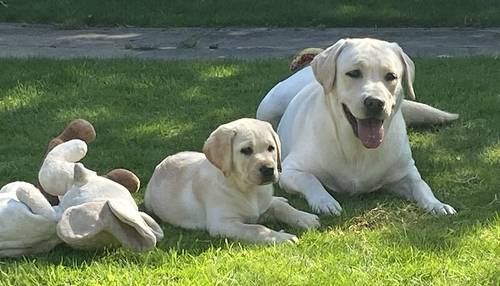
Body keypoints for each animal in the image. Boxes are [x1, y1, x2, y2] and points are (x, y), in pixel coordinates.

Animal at [144, 117, 320, 242]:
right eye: (246, 150)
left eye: (271, 148)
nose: (269, 169)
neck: (249, 190)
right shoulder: (223, 223)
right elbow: (257, 228)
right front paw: (282, 237)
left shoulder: (262, 205)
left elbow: (282, 208)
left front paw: (305, 218)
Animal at [262, 39, 458, 216]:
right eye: (354, 73)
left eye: (391, 76)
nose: (375, 102)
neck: (357, 147)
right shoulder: (290, 171)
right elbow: (310, 179)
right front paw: (325, 201)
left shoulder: (406, 172)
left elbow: (421, 185)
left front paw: (436, 204)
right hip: (269, 107)